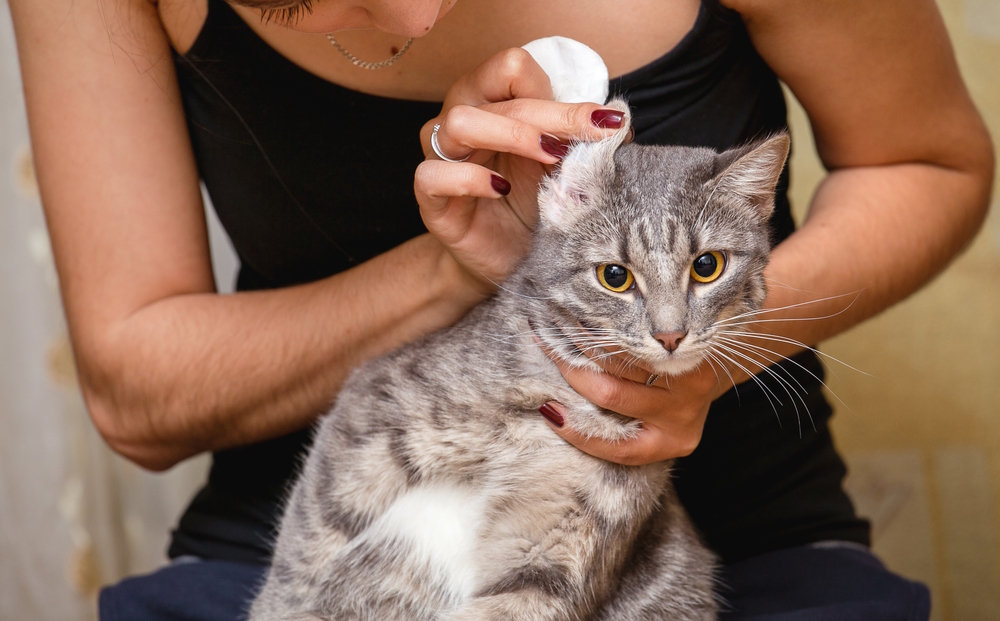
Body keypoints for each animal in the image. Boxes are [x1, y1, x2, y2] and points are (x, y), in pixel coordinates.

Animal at [248, 101, 788, 620]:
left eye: (707, 266)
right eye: (614, 276)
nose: (671, 334)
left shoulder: (560, 552)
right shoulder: (373, 407)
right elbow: (309, 543)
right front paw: (286, 604)